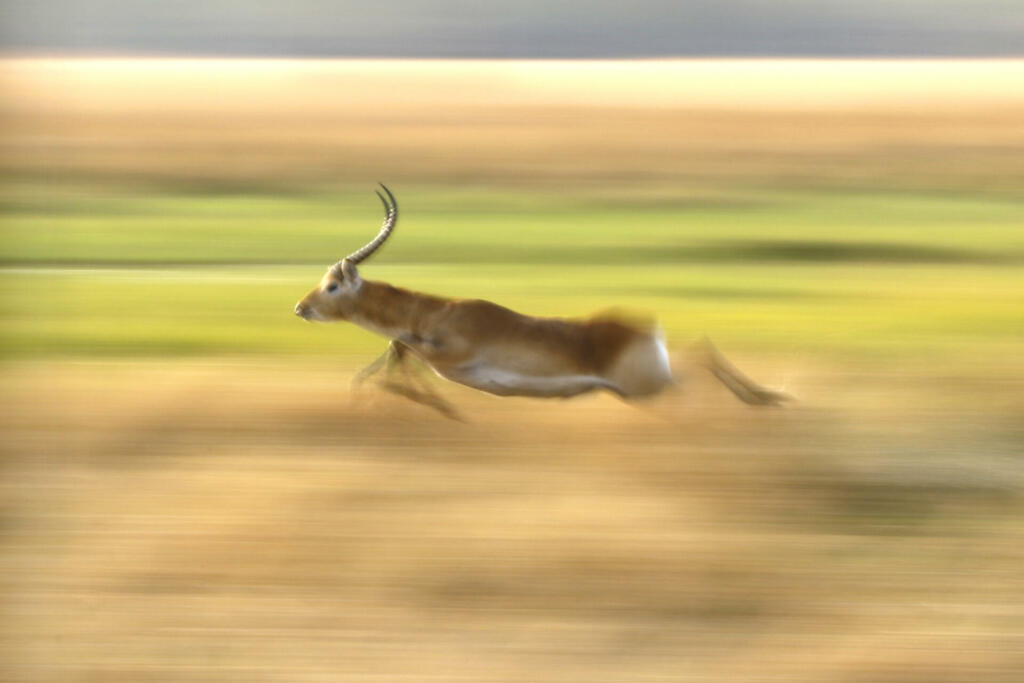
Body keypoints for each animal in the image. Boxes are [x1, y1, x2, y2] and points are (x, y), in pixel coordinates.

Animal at [292, 184, 786, 417]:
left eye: (332, 284)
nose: (301, 308)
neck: (437, 312)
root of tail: (646, 326)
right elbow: (393, 352)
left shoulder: (452, 357)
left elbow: (401, 347)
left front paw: (443, 409)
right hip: (642, 387)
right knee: (701, 348)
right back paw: (770, 398)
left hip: (646, 385)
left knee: (700, 356)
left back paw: (770, 398)